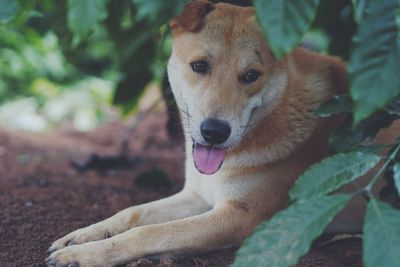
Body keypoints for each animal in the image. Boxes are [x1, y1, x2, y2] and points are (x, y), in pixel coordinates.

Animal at [46, 1, 382, 266]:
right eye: (199, 66)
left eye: (251, 75)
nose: (214, 132)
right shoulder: (196, 195)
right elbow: (132, 213)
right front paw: (82, 236)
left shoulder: (243, 217)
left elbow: (151, 232)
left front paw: (86, 255)